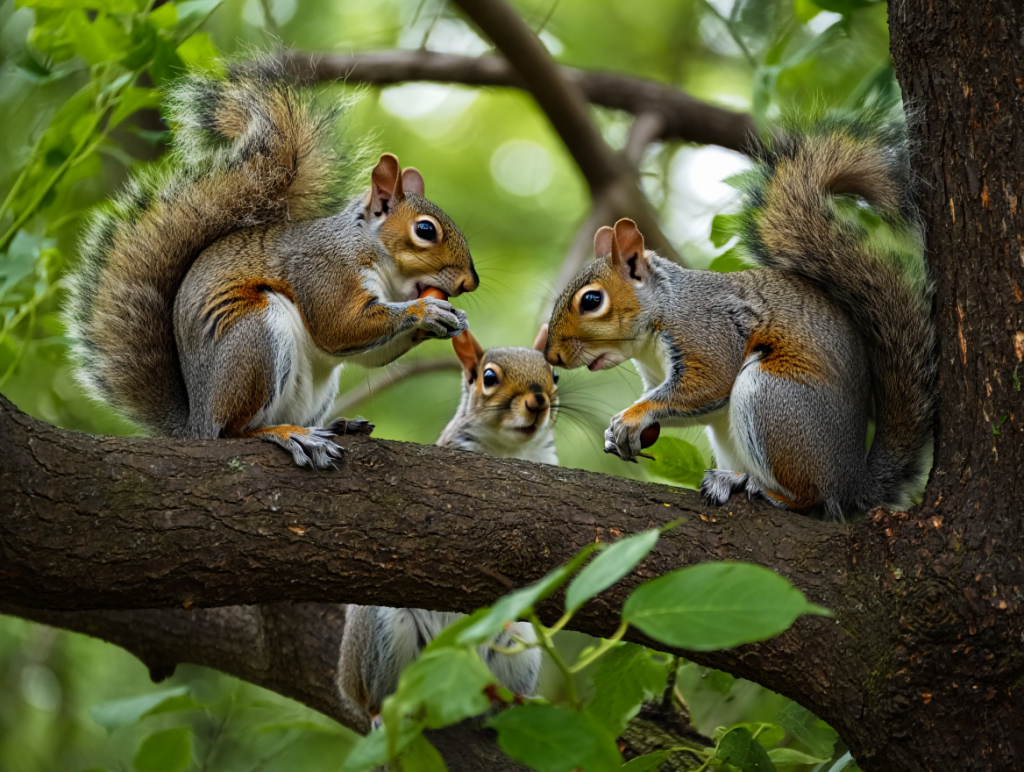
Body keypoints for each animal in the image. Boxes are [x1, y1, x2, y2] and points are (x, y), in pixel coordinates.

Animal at [64, 61, 478, 467]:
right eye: (425, 230)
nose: (469, 283)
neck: (370, 251)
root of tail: (198, 420)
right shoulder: (324, 269)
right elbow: (339, 326)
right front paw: (424, 310)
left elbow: (368, 352)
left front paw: (452, 319)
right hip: (254, 341)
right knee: (234, 431)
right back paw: (287, 434)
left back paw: (335, 426)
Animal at [337, 327, 556, 729]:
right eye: (489, 377)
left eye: (555, 375)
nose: (538, 402)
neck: (510, 451)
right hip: (382, 632)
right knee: (375, 697)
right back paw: (379, 713)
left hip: (517, 642)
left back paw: (514, 703)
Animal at [544, 118, 935, 521]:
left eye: (592, 300)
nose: (551, 355)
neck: (661, 316)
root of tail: (850, 484)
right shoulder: (656, 375)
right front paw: (621, 431)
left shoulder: (707, 332)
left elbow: (709, 383)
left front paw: (630, 417)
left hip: (774, 399)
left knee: (810, 499)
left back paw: (758, 487)